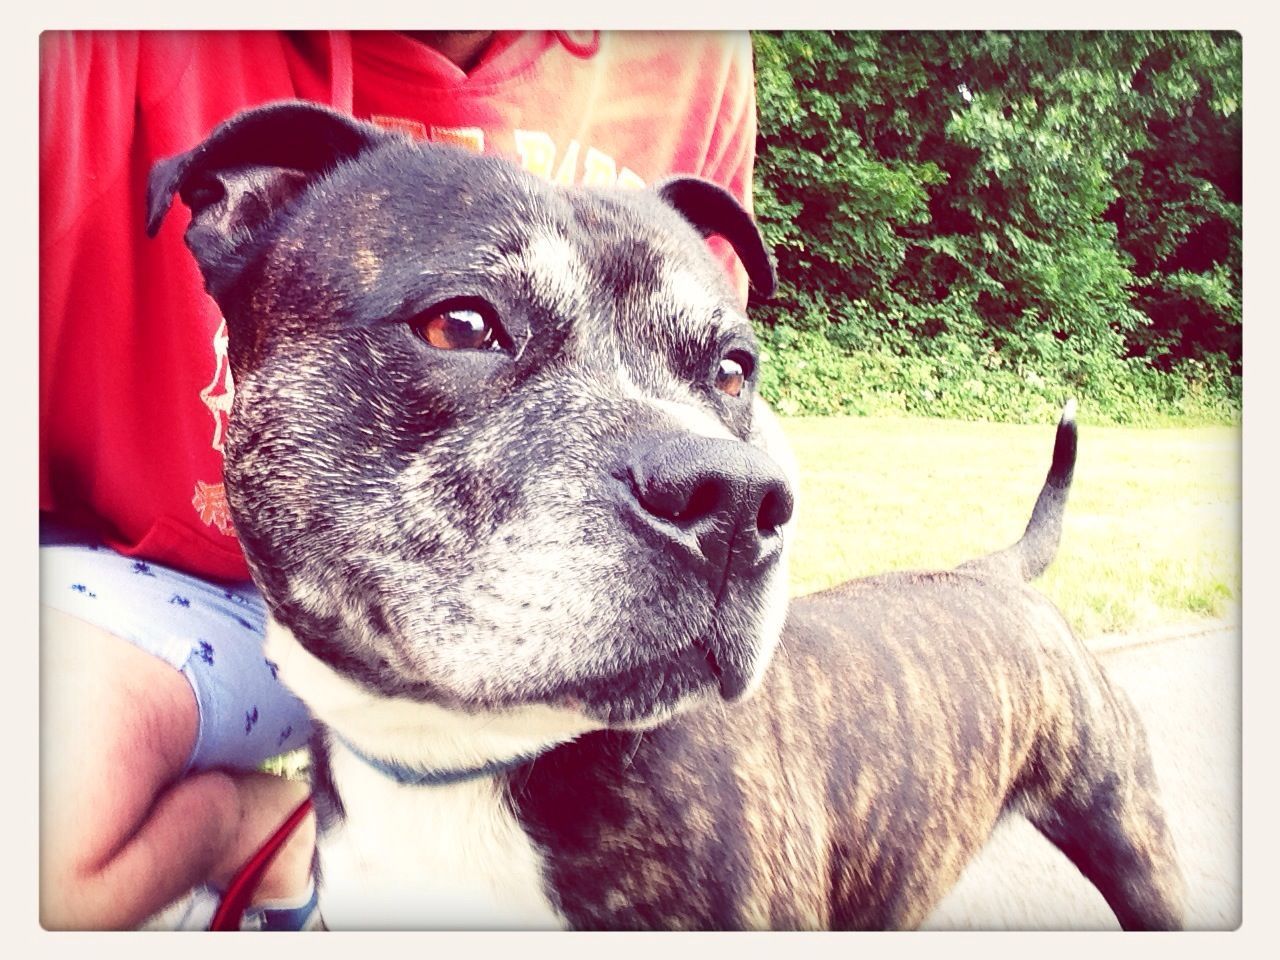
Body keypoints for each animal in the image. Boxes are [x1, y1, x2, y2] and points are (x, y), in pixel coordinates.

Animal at [145, 99, 1182, 931]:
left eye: (734, 368)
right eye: (461, 324)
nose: (737, 501)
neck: (464, 764)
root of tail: (995, 569)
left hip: (1129, 838)